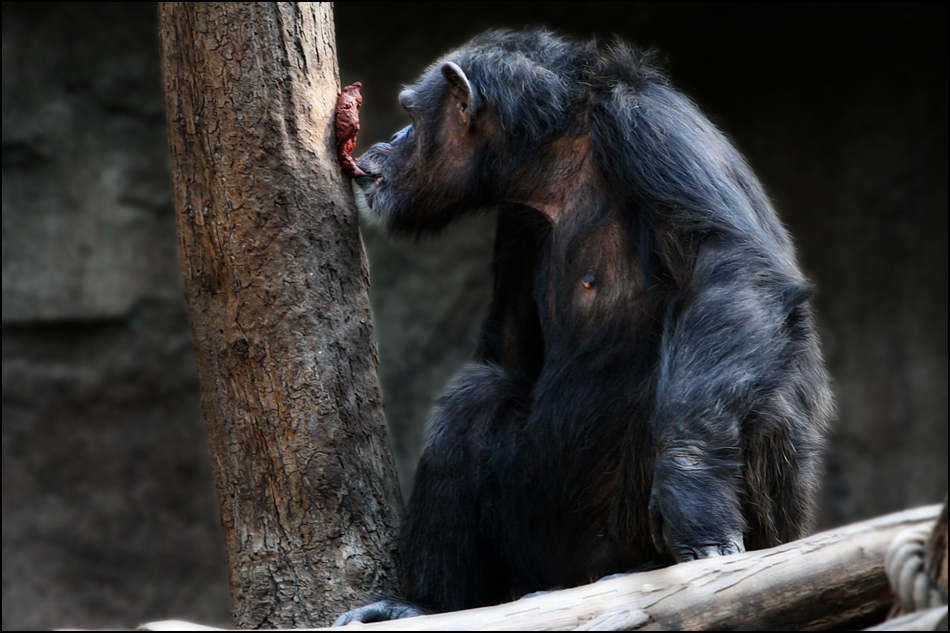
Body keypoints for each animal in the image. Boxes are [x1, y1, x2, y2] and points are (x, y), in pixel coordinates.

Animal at [334, 28, 832, 624]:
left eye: (411, 111)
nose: (393, 136)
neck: (559, 157)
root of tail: (579, 577)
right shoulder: (517, 217)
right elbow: (510, 355)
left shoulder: (649, 128)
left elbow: (731, 263)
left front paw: (693, 494)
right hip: (537, 553)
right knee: (475, 399)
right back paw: (423, 605)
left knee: (753, 396)